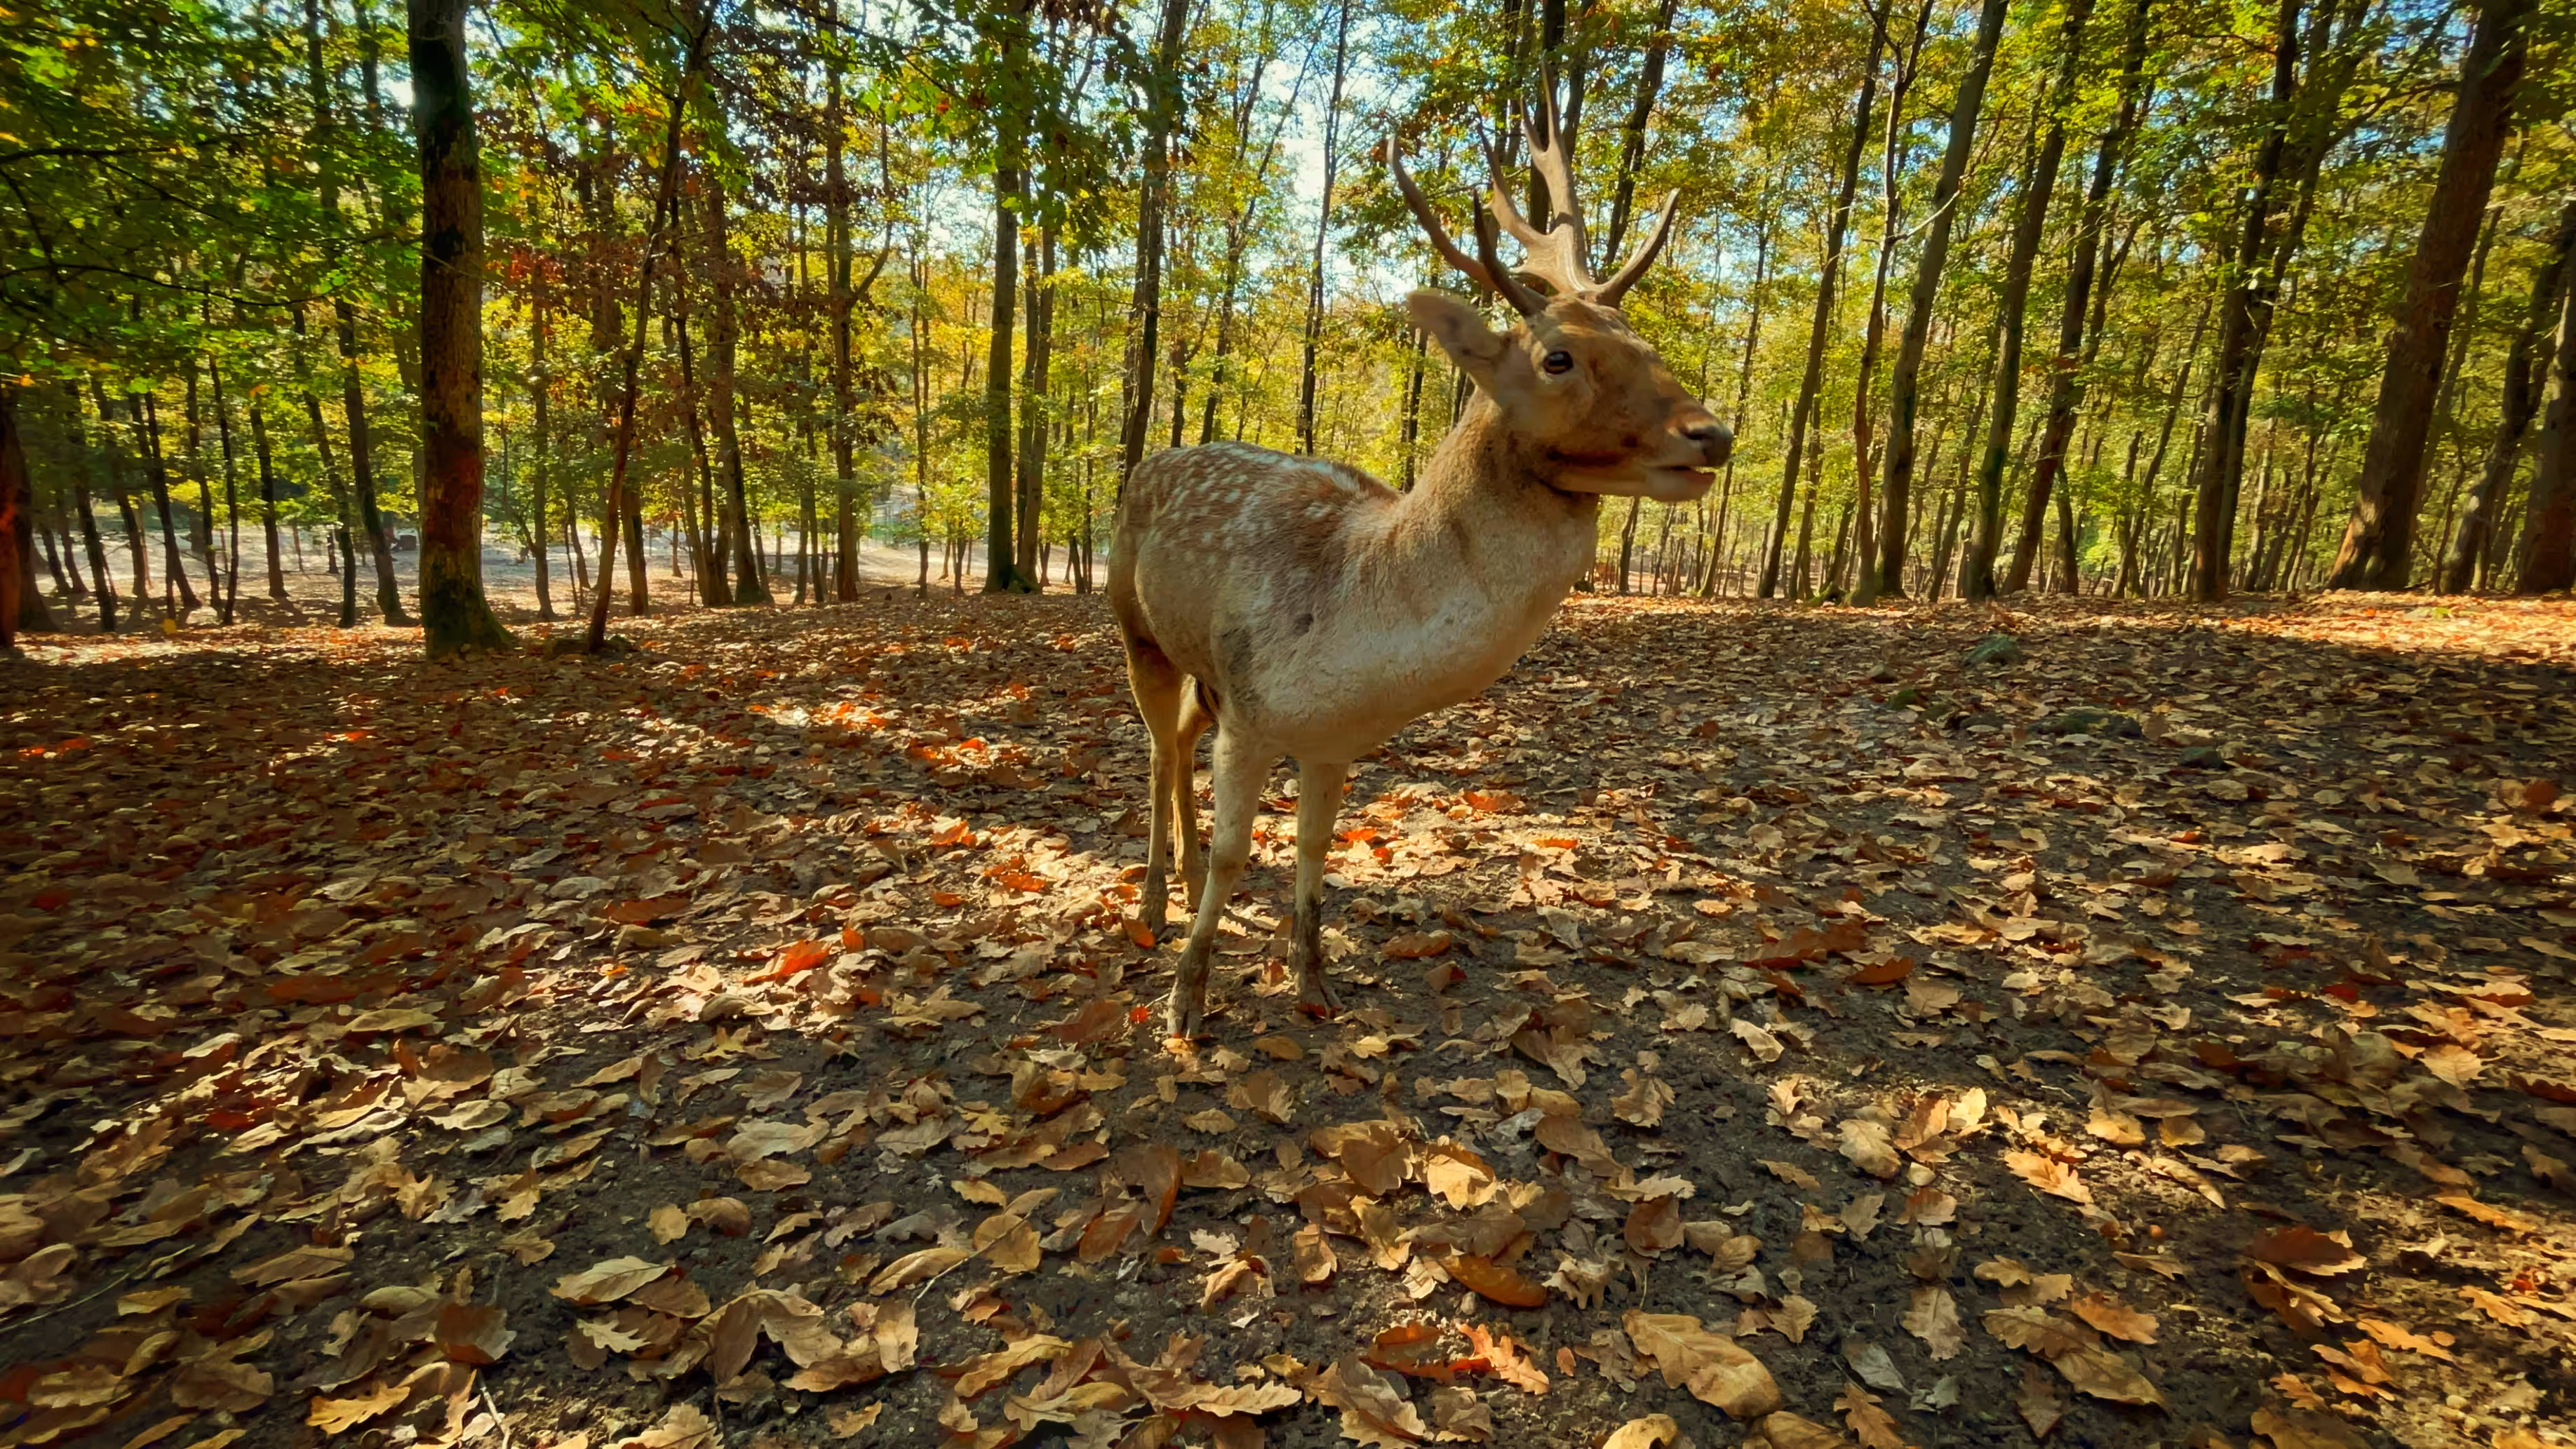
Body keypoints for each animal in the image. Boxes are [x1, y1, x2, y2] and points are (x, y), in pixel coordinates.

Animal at [1111, 83, 1730, 1039]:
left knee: (1175, 739)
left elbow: (1314, 848)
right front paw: (1187, 999)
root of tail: (1146, 464)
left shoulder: (1329, 741)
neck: (1352, 646)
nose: (1712, 435)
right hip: (1132, 622)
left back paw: (1170, 875)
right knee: (1152, 746)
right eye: (1559, 357)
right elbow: (1234, 852)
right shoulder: (1250, 706)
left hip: (1199, 665)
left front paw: (1314, 981)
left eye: (1647, 347)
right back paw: (1149, 899)